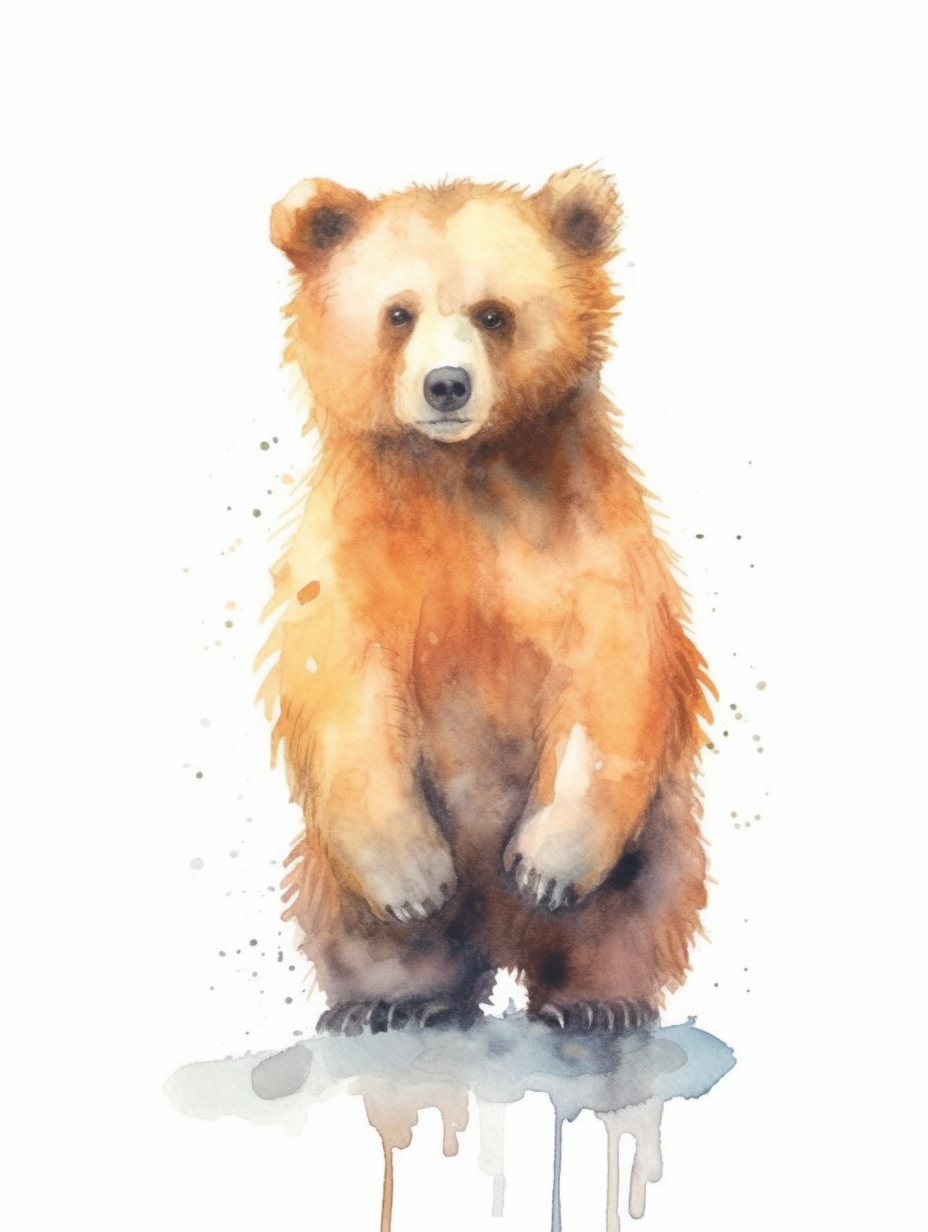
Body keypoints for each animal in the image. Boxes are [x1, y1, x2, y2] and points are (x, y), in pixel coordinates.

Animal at [258, 168, 714, 1035]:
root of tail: (499, 943)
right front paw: (415, 883)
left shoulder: (585, 536)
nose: (446, 385)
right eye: (398, 312)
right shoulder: (352, 552)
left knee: (636, 902)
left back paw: (595, 1001)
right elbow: (342, 687)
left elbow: (613, 669)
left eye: (493, 313)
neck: (462, 473)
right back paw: (394, 999)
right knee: (359, 923)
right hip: (327, 866)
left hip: (661, 828)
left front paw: (545, 867)